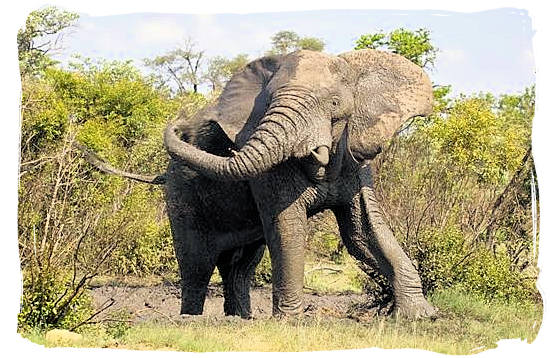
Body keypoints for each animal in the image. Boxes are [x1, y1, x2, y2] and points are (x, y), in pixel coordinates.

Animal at [81, 49, 440, 318]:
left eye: (335, 104)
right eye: (268, 103)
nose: (179, 122)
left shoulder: (354, 156)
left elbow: (363, 232)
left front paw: (420, 316)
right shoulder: (269, 177)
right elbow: (288, 226)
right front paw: (290, 321)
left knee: (241, 265)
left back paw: (240, 318)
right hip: (182, 196)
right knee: (196, 265)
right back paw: (191, 318)